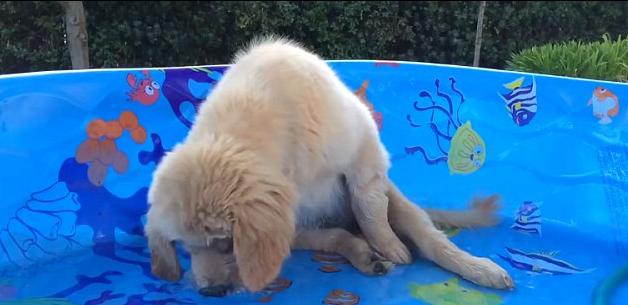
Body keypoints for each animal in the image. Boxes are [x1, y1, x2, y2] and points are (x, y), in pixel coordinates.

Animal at [144, 35, 516, 294]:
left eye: (225, 242)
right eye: (182, 246)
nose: (211, 291)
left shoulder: (364, 156)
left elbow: (370, 212)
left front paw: (390, 246)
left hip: (396, 202)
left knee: (429, 239)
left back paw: (479, 268)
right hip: (296, 226)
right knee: (336, 235)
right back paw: (364, 255)